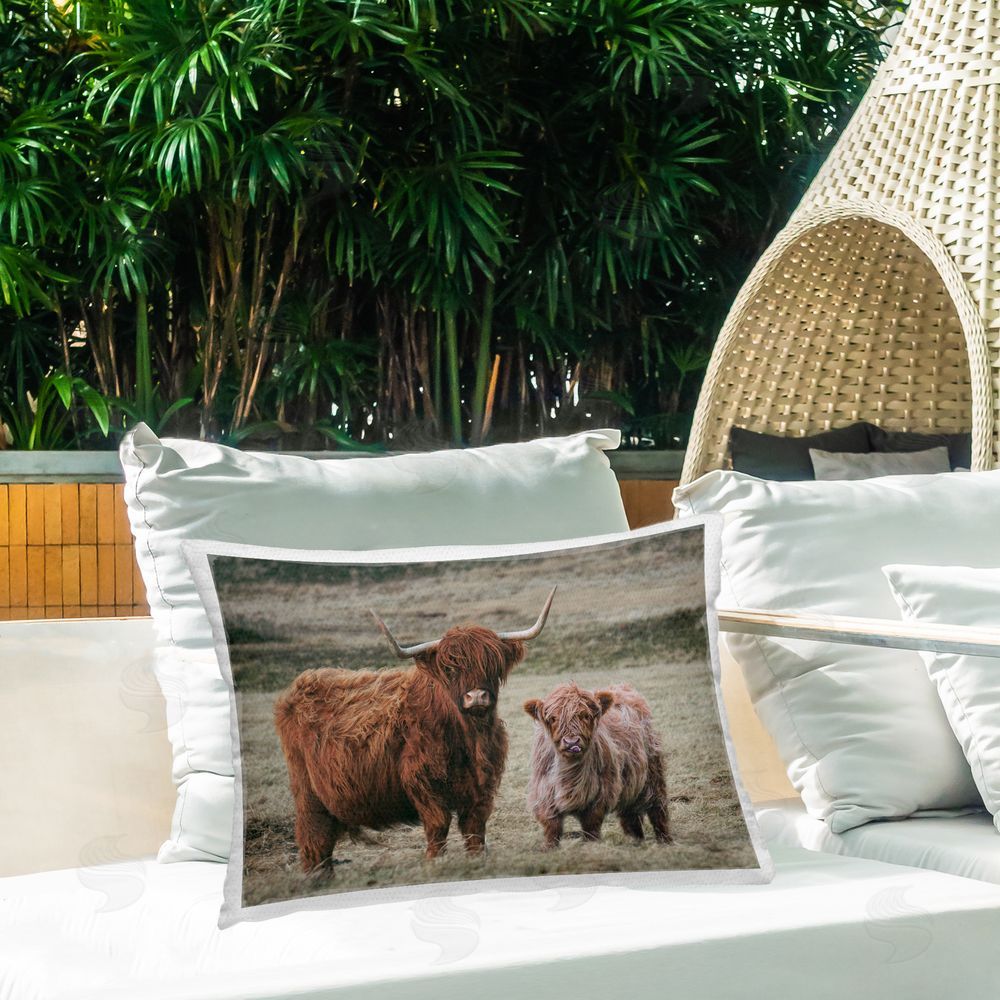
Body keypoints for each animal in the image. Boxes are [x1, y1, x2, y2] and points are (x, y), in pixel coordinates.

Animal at [274, 588, 556, 872]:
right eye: (450, 668)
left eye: (492, 663)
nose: (476, 696)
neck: (469, 738)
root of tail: (300, 685)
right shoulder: (422, 781)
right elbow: (438, 825)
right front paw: (433, 863)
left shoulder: (481, 786)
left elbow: (474, 828)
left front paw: (477, 861)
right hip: (307, 790)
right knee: (314, 837)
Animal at [523, 682, 671, 847]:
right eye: (553, 718)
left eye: (585, 715)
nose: (571, 742)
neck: (570, 772)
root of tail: (621, 687)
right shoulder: (545, 793)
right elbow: (552, 827)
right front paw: (549, 847)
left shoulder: (600, 794)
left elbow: (590, 826)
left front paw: (591, 845)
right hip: (630, 781)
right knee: (630, 813)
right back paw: (636, 840)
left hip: (653, 772)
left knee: (657, 808)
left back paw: (665, 840)